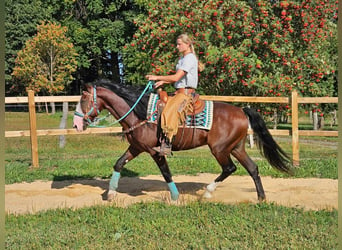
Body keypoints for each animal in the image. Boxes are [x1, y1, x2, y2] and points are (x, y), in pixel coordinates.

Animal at [73, 79, 292, 202]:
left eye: (83, 99)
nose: (76, 125)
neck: (140, 113)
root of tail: (241, 110)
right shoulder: (136, 147)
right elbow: (118, 163)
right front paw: (110, 194)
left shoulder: (155, 151)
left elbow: (166, 173)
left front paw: (175, 197)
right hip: (237, 148)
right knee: (253, 168)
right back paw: (261, 198)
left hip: (220, 149)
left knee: (230, 168)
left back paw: (207, 193)